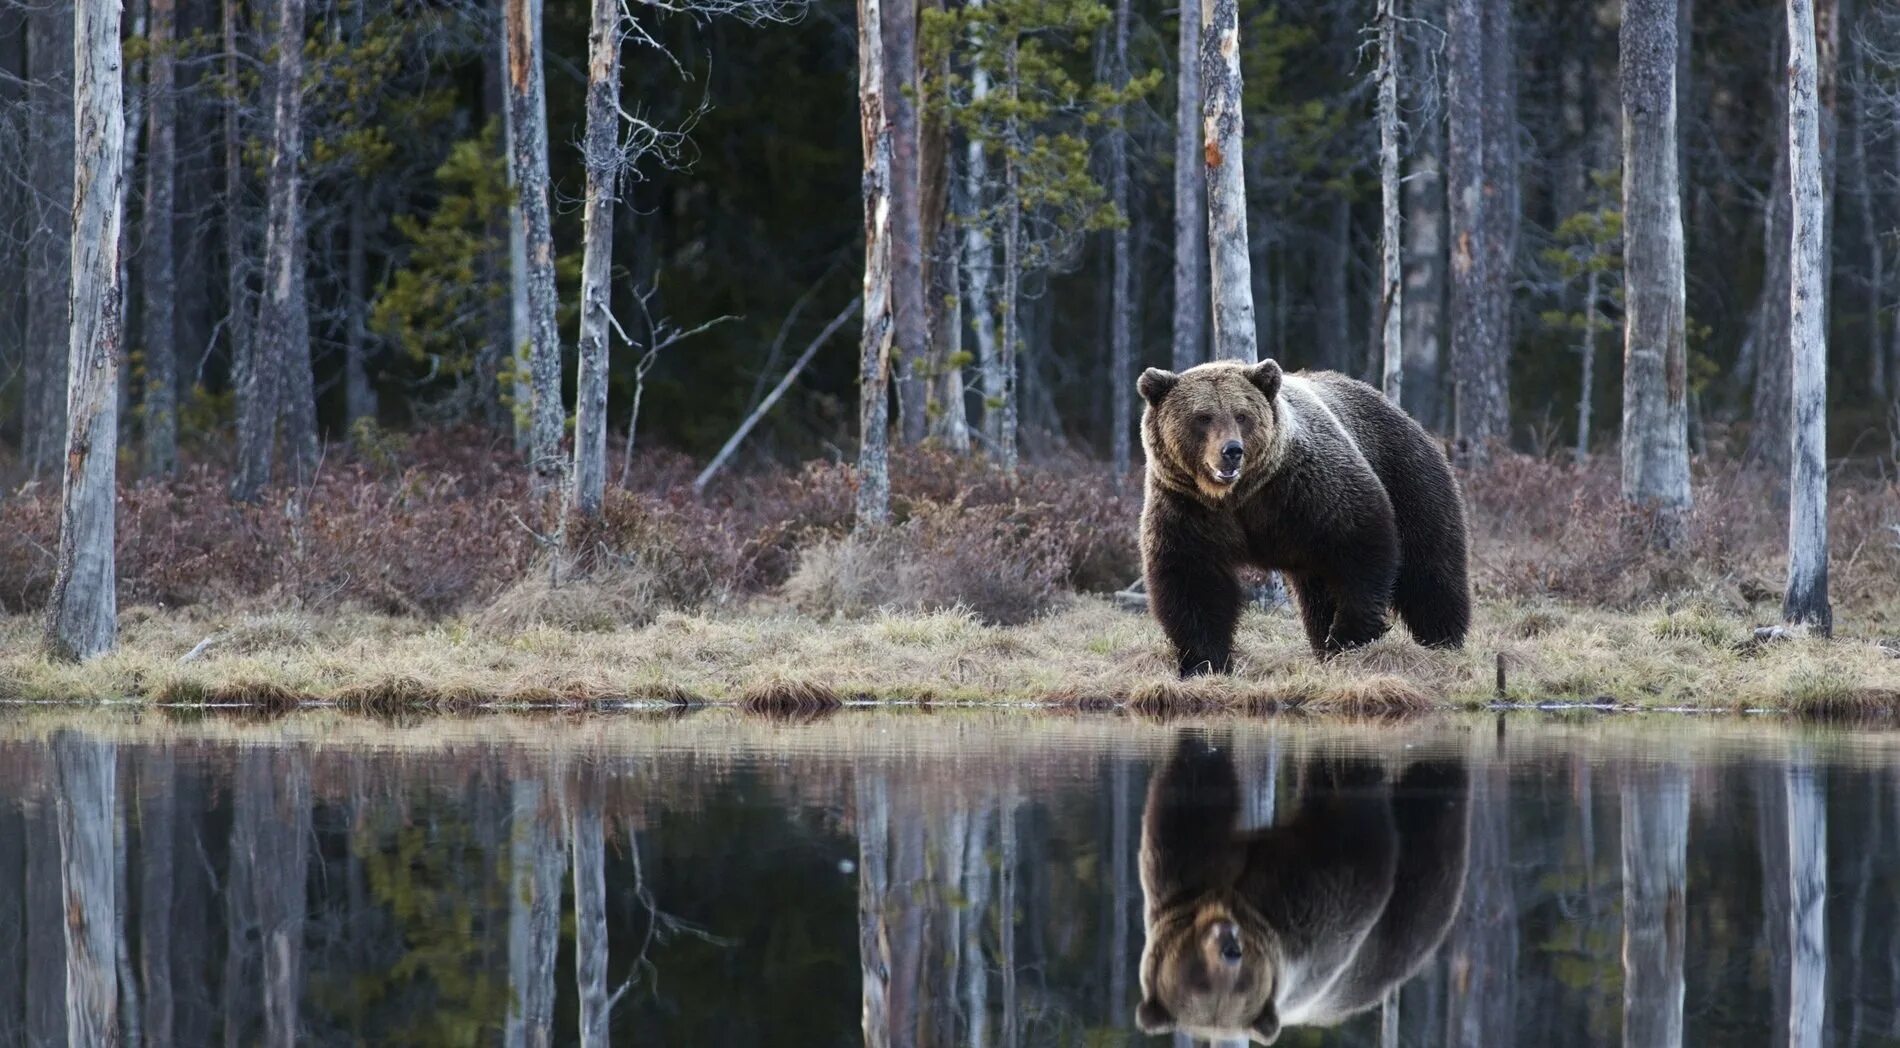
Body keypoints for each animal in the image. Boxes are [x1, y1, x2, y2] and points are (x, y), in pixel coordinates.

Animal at [1140, 360, 1466, 672]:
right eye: (1203, 417)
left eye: (1242, 415)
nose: (1231, 451)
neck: (1239, 496)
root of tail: (1402, 412)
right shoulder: (1188, 508)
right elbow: (1193, 580)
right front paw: (1204, 662)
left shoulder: (1307, 489)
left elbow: (1361, 545)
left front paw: (1347, 637)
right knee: (1318, 595)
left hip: (1408, 477)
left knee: (1430, 568)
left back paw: (1442, 640)